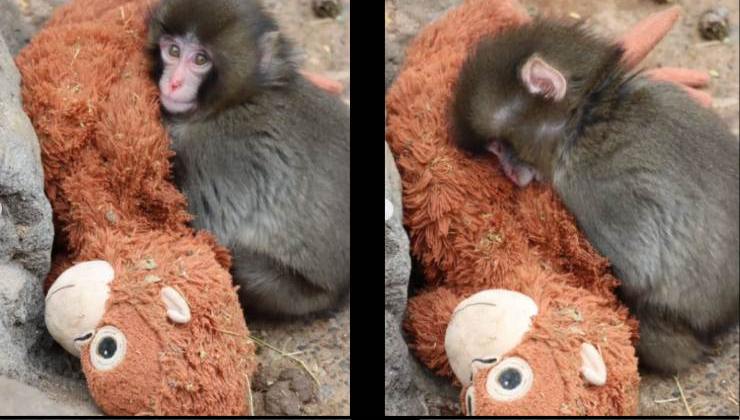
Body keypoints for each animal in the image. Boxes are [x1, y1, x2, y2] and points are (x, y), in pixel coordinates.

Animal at [146, 0, 350, 317]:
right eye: (174, 50)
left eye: (201, 59)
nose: (175, 83)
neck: (237, 99)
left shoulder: (212, 153)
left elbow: (205, 233)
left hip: (297, 294)